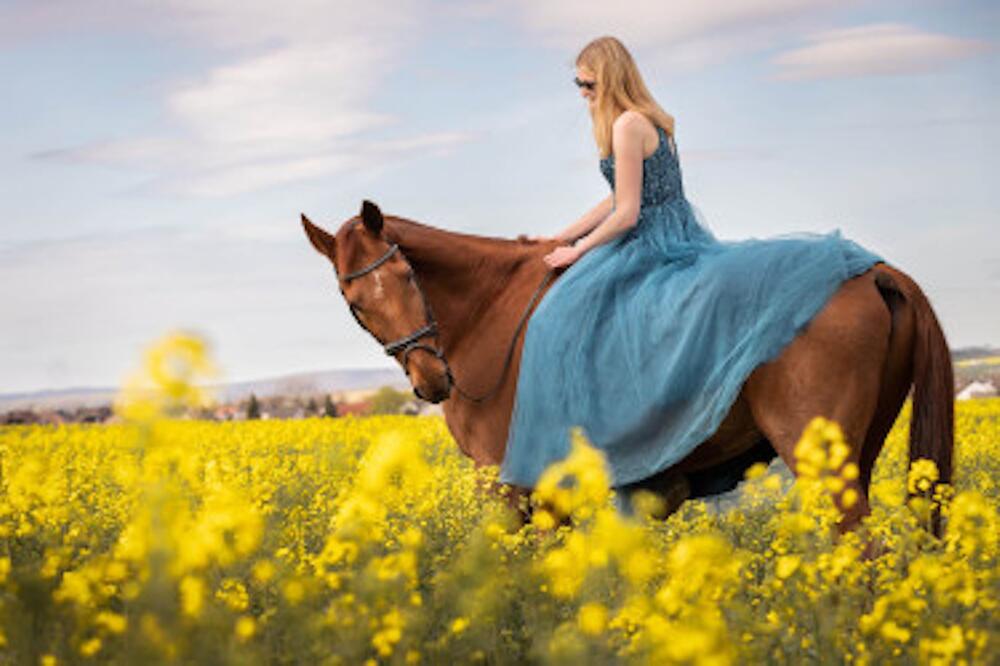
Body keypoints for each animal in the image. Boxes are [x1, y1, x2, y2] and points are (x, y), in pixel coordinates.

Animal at [302, 198, 952, 536]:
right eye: (353, 301)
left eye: (407, 274)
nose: (431, 380)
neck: (490, 311)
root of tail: (874, 270)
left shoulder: (510, 487)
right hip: (858, 454)